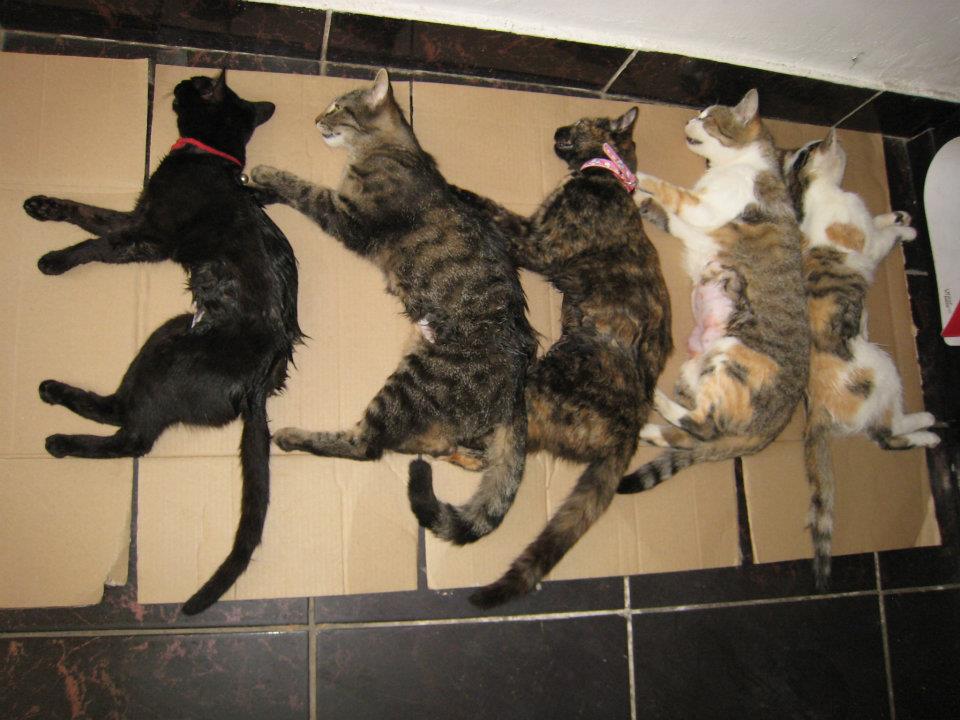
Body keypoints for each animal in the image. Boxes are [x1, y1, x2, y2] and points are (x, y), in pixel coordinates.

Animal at [23, 70, 302, 615]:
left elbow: (96, 244)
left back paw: (59, 430)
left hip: (163, 348)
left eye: (200, 83)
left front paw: (55, 260)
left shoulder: (150, 234)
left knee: (132, 432)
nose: (182, 79)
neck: (208, 158)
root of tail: (259, 383)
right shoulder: (137, 215)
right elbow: (87, 212)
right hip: (170, 333)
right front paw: (42, 206)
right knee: (124, 418)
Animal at [250, 69, 537, 547]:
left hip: (411, 384)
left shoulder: (348, 215)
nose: (316, 118)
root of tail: (518, 387)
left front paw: (264, 173)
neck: (388, 148)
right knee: (440, 446)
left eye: (336, 106)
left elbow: (303, 187)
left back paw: (292, 436)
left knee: (367, 445)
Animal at [430, 107, 673, 607]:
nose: (558, 129)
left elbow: (492, 211)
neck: (609, 179)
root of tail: (632, 429)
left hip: (534, 390)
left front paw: (453, 189)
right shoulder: (532, 228)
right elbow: (498, 210)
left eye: (581, 122)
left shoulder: (538, 244)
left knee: (488, 448)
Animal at [616, 89, 809, 493]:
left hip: (731, 356)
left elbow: (668, 190)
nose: (689, 118)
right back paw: (649, 429)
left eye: (707, 117)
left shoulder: (703, 206)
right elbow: (668, 213)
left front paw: (636, 177)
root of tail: (773, 428)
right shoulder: (691, 215)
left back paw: (654, 401)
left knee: (702, 426)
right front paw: (640, 198)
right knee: (691, 436)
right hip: (693, 371)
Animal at [782, 129, 939, 586]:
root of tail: (814, 409)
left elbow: (881, 220)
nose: (827, 133)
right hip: (882, 368)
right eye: (810, 150)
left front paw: (899, 215)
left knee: (881, 434)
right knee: (887, 432)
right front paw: (908, 231)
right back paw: (930, 429)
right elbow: (879, 239)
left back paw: (925, 427)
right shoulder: (863, 243)